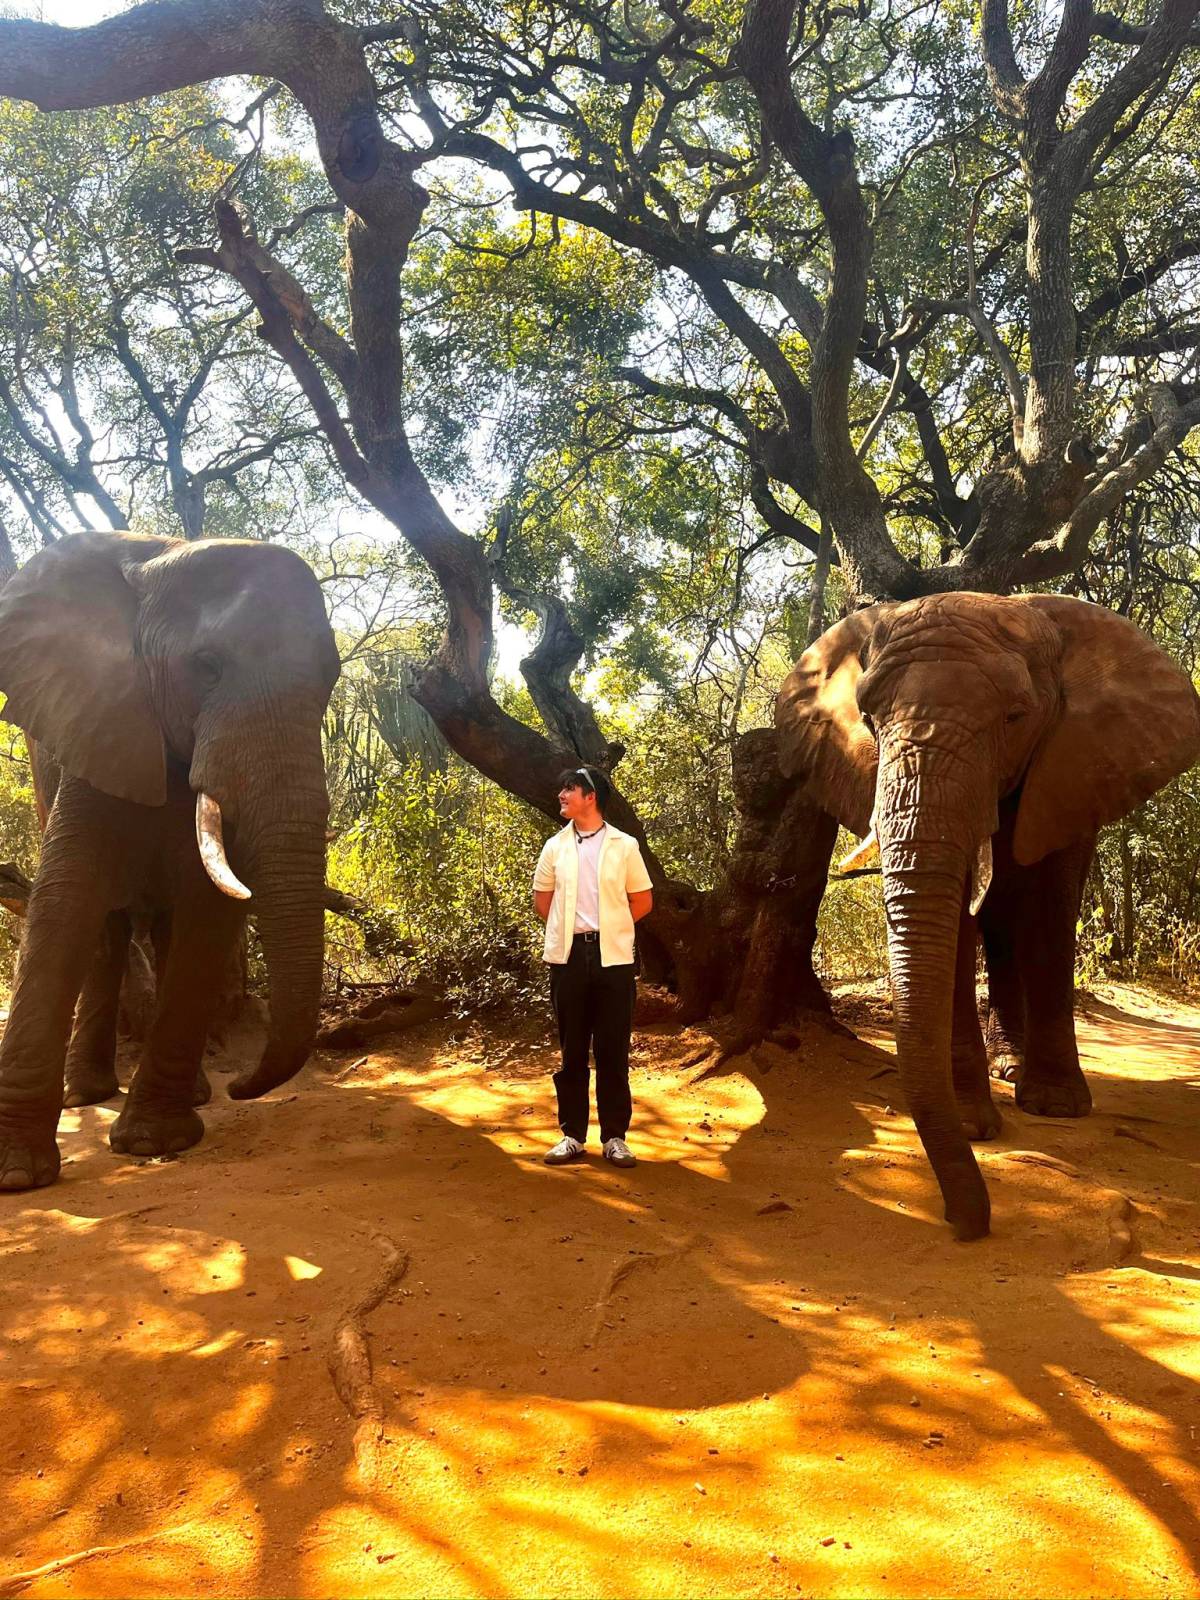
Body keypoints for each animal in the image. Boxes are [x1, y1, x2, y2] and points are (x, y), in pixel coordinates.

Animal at [0, 530, 339, 1190]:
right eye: (205, 667)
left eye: (331, 675)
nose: (244, 1087)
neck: (157, 559)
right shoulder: (101, 721)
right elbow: (63, 904)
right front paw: (17, 1176)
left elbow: (207, 918)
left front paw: (152, 1141)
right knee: (107, 934)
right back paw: (86, 1094)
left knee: (162, 930)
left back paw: (195, 1093)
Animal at [777, 591, 1200, 1241]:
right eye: (869, 719)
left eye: (1015, 718)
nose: (964, 1221)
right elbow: (958, 920)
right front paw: (976, 1125)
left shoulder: (1074, 763)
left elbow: (1050, 905)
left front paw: (1056, 1108)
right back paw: (1006, 1066)